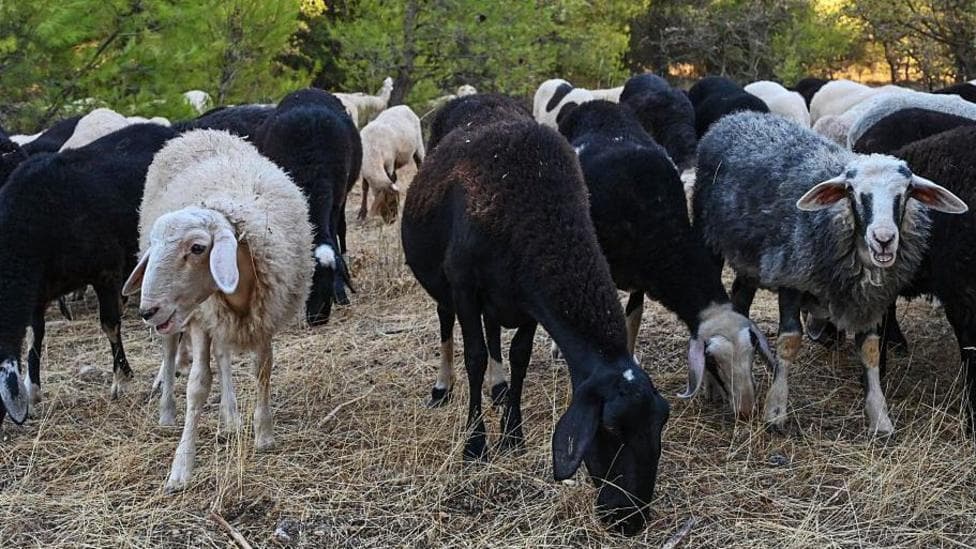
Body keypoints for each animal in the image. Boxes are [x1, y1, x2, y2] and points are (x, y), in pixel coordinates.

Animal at [0, 123, 178, 425]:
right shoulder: (38, 291)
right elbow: (36, 335)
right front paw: (32, 390)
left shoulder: (106, 270)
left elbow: (110, 324)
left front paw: (122, 380)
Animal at [122, 129, 314, 492]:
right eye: (153, 246)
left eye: (198, 248)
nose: (147, 311)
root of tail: (196, 132)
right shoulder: (201, 319)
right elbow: (197, 385)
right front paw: (181, 467)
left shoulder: (264, 316)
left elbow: (262, 370)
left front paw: (263, 434)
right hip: (184, 320)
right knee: (170, 353)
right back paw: (167, 413)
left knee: (223, 355)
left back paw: (230, 415)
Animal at [401, 118, 669, 536]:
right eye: (609, 429)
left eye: (660, 424)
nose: (630, 520)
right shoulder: (465, 286)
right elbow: (475, 357)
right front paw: (475, 445)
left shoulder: (527, 299)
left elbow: (519, 358)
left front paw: (513, 435)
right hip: (444, 287)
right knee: (448, 326)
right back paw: (443, 388)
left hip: (498, 300)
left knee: (494, 334)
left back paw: (498, 391)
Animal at [557, 100, 777, 418]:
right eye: (713, 361)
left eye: (751, 355)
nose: (745, 410)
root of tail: (594, 103)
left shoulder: (640, 279)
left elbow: (633, 321)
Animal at [693, 111, 967, 434]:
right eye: (852, 192)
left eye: (907, 191)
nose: (884, 239)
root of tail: (735, 117)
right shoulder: (791, 277)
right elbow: (789, 342)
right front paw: (775, 411)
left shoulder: (871, 299)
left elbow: (871, 350)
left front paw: (880, 418)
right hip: (708, 238)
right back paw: (713, 385)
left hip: (750, 259)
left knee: (739, 299)